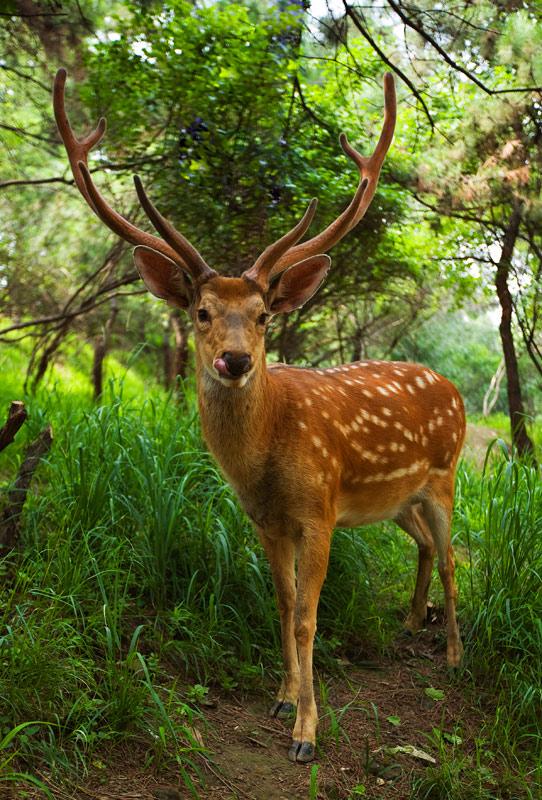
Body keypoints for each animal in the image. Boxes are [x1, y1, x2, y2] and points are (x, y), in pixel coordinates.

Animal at [55, 69, 468, 764]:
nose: (235, 359)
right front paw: (281, 697)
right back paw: (412, 622)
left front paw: (306, 733)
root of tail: (454, 389)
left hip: (445, 475)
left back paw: (456, 656)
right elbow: (280, 604)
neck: (267, 457)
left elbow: (307, 617)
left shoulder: (319, 511)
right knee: (423, 547)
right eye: (200, 312)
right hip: (396, 498)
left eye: (264, 316)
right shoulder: (266, 521)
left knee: (451, 557)